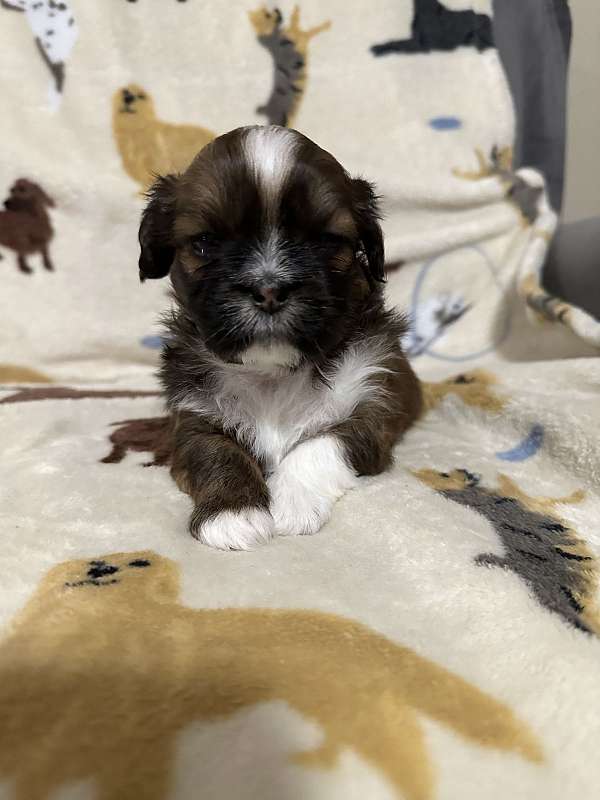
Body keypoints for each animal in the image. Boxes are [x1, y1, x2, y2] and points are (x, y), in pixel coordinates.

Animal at [140, 125, 422, 552]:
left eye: (327, 242)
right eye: (205, 243)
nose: (269, 289)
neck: (273, 374)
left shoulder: (376, 405)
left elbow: (323, 442)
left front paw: (291, 500)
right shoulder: (191, 417)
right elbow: (215, 450)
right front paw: (232, 513)